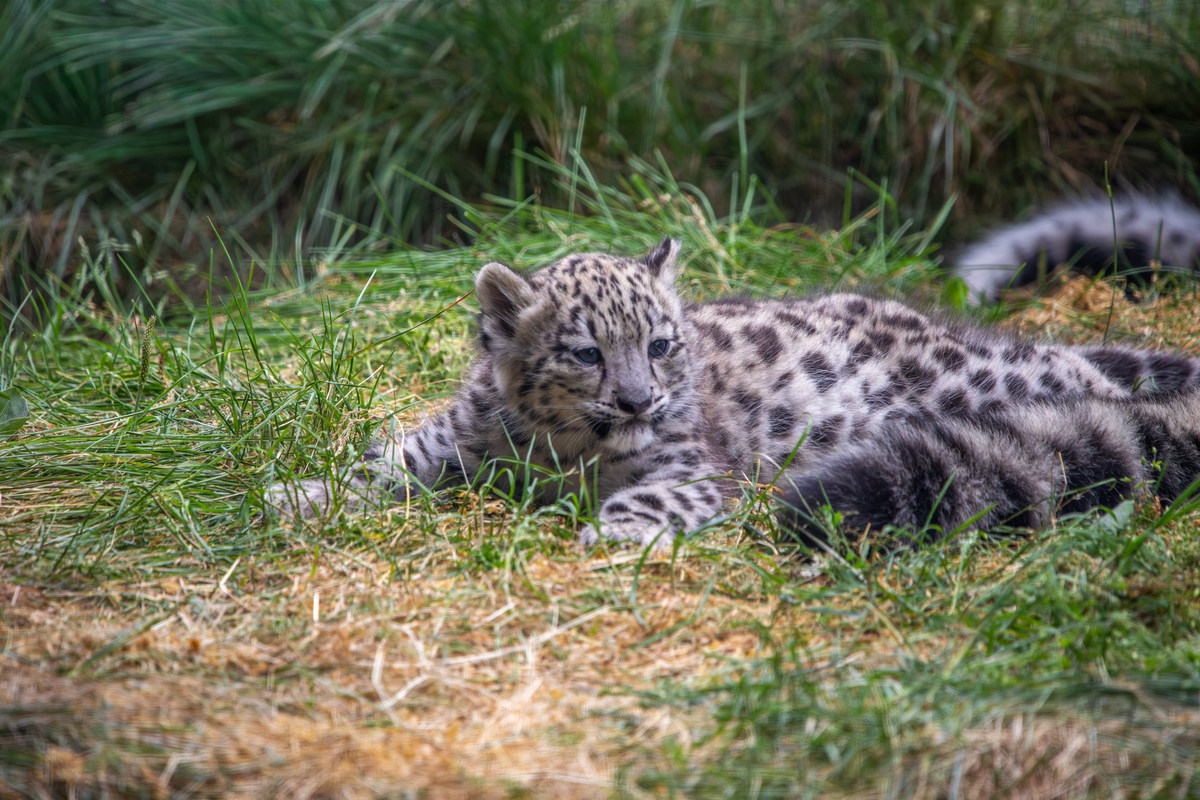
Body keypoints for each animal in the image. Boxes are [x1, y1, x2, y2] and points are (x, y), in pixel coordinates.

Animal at [266, 238, 1200, 548]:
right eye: (585, 352)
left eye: (660, 344)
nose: (638, 403)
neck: (561, 452)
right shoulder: (452, 442)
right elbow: (386, 461)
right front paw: (296, 495)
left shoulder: (692, 470)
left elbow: (647, 498)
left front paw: (605, 536)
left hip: (985, 378)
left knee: (1084, 380)